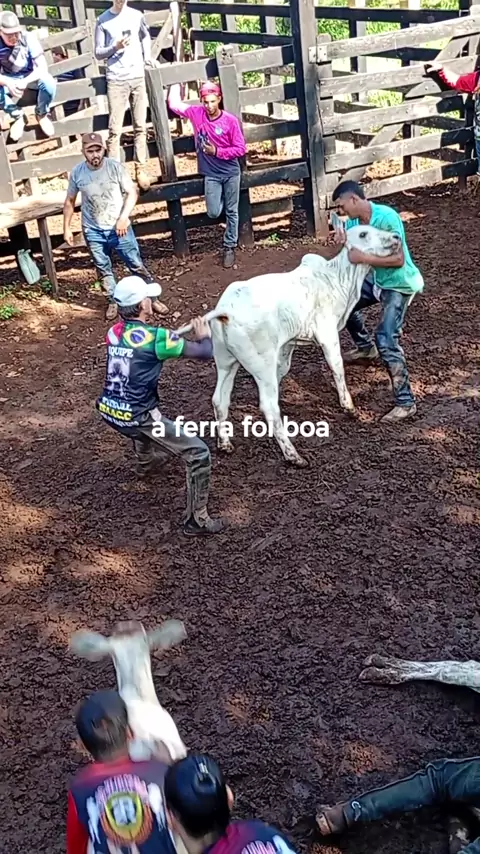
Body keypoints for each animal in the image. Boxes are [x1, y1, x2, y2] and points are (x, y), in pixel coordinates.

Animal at [174, 224, 402, 467]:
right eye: (363, 234)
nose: (396, 237)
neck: (338, 280)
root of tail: (226, 310)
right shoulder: (326, 332)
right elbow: (337, 366)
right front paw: (349, 407)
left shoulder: (287, 343)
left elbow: (283, 369)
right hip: (261, 361)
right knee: (268, 406)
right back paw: (294, 455)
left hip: (226, 360)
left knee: (219, 399)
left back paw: (225, 444)